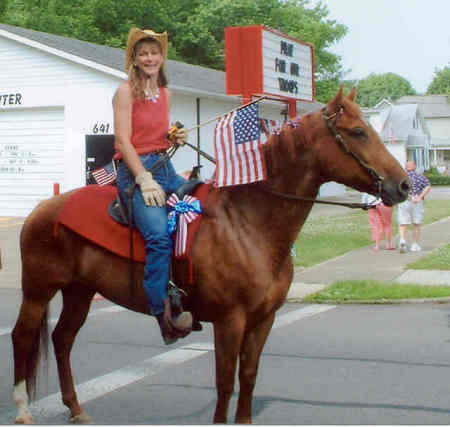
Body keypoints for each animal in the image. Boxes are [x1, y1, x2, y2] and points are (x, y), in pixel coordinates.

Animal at [12, 88, 410, 426]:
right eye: (358, 132)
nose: (404, 184)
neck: (248, 221)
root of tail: (42, 208)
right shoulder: (229, 320)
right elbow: (225, 382)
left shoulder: (263, 319)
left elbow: (248, 377)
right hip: (38, 290)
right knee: (22, 337)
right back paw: (23, 410)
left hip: (79, 291)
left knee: (62, 340)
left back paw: (76, 408)